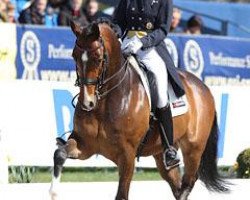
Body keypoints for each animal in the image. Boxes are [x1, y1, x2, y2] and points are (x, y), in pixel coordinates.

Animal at [49, 20, 229, 200]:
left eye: (98, 58)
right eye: (74, 56)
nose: (88, 102)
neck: (105, 102)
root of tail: (203, 87)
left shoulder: (127, 155)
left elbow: (122, 195)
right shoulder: (85, 145)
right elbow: (59, 154)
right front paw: (53, 191)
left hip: (193, 148)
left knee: (188, 182)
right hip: (161, 153)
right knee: (176, 184)